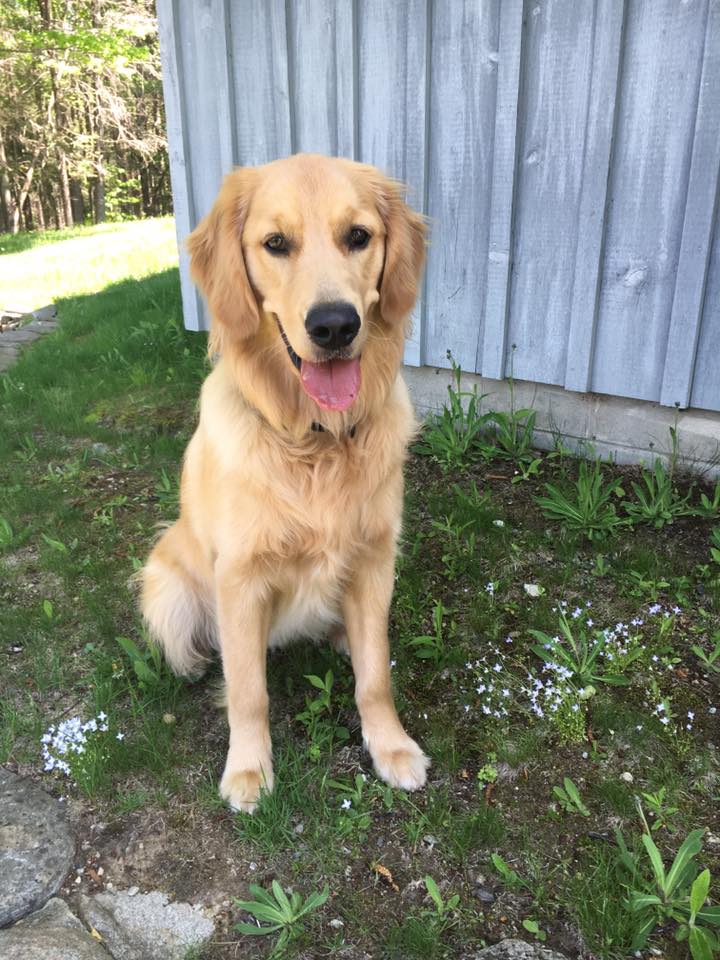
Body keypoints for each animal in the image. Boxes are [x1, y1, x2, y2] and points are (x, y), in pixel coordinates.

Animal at [143, 156, 430, 808]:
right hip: (165, 583)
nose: (335, 325)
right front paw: (248, 770)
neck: (316, 438)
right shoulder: (240, 578)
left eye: (358, 235)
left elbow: (375, 677)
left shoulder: (375, 558)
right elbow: (249, 691)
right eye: (275, 244)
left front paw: (391, 746)